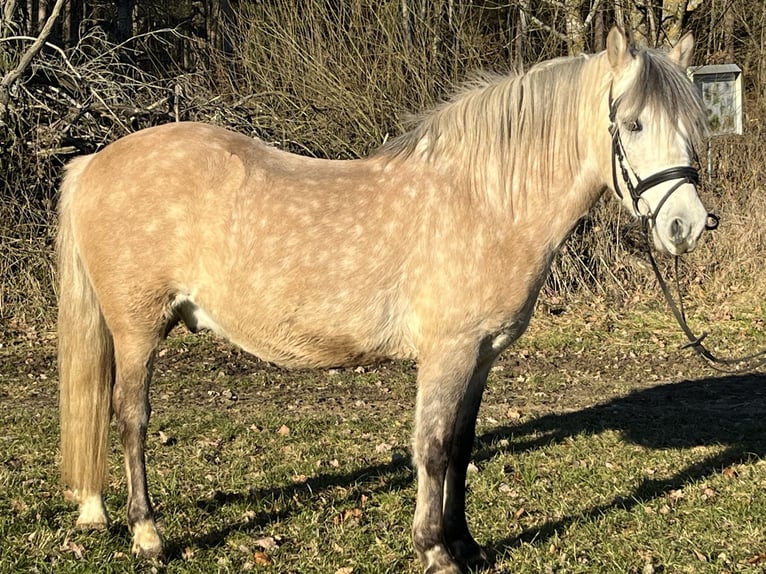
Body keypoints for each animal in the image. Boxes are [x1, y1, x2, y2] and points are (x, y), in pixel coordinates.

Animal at [57, 28, 710, 573]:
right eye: (633, 125)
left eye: (691, 125)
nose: (686, 226)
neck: (485, 201)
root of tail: (94, 162)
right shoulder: (447, 352)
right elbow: (432, 446)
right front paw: (435, 551)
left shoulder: (482, 355)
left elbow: (461, 446)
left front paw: (466, 543)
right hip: (138, 330)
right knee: (131, 419)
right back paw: (148, 535)